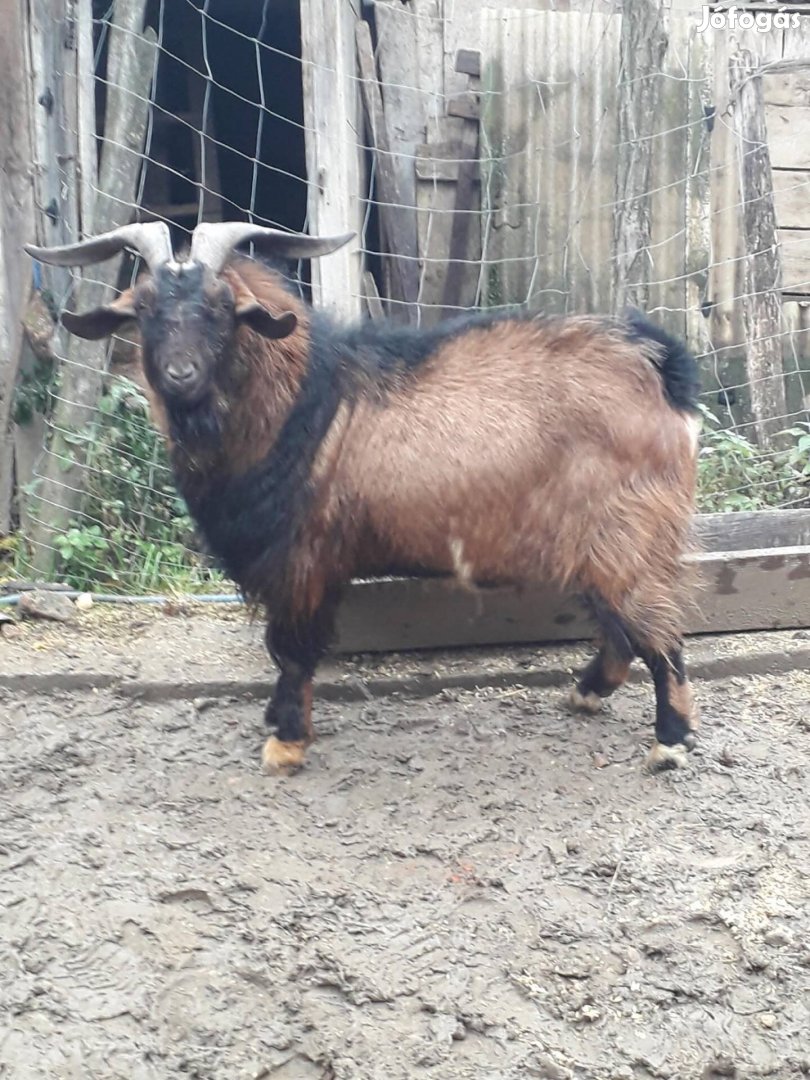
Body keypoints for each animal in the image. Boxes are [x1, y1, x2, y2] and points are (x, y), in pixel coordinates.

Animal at [26, 221, 702, 775]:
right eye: (143, 308)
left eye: (222, 308)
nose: (180, 374)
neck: (299, 400)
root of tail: (657, 363)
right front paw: (277, 722)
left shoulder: (302, 560)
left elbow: (291, 649)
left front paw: (287, 742)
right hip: (597, 538)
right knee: (619, 626)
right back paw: (588, 693)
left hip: (629, 532)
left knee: (659, 633)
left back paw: (670, 741)